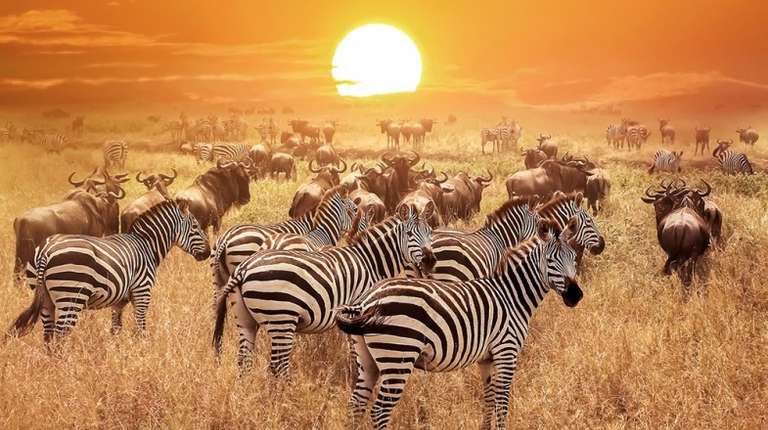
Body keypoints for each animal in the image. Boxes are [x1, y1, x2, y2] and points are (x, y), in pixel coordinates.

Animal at [8, 200, 210, 342]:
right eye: (195, 227)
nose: (209, 253)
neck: (146, 246)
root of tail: (46, 251)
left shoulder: (119, 302)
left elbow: (116, 329)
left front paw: (118, 354)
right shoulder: (142, 293)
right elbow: (140, 328)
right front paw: (141, 353)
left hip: (45, 299)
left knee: (48, 336)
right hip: (71, 297)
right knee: (59, 337)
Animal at [212, 203, 435, 374]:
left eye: (430, 232)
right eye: (409, 234)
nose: (430, 260)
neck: (369, 261)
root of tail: (244, 268)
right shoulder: (358, 311)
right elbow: (354, 351)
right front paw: (353, 372)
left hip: (245, 319)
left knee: (244, 359)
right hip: (281, 318)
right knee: (278, 365)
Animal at [335, 219, 582, 430]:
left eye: (573, 257)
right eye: (550, 260)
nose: (576, 296)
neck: (511, 295)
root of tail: (365, 301)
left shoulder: (486, 358)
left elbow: (489, 398)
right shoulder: (507, 351)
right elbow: (502, 402)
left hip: (367, 360)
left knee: (356, 405)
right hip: (398, 355)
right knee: (379, 411)